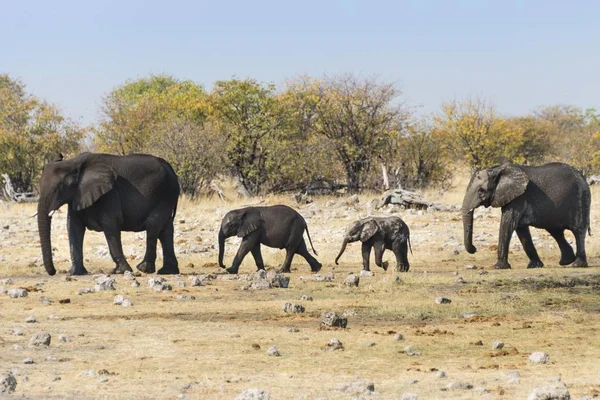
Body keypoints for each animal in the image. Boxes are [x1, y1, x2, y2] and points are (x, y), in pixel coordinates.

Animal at [35, 152, 179, 276]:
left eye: (60, 187)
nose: (53, 272)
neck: (73, 163)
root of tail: (170, 168)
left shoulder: (109, 194)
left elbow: (110, 226)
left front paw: (120, 271)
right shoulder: (77, 196)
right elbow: (73, 228)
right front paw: (74, 273)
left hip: (166, 192)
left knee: (152, 224)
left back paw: (144, 268)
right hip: (167, 194)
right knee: (166, 230)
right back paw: (168, 271)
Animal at [464, 162, 592, 268]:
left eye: (481, 191)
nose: (474, 249)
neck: (498, 169)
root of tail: (582, 176)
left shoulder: (519, 197)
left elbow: (508, 223)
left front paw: (499, 267)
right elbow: (521, 230)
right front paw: (534, 266)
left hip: (581, 198)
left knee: (578, 232)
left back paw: (577, 265)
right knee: (556, 231)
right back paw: (566, 262)